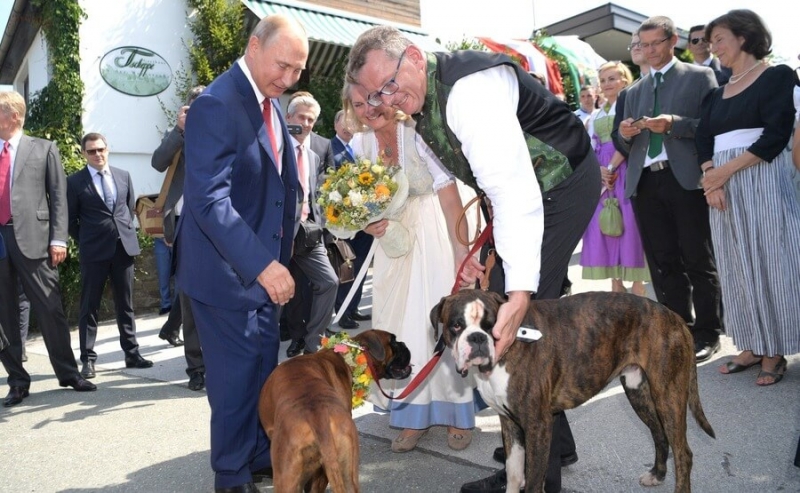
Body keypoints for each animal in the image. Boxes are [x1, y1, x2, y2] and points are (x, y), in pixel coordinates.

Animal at [434, 290, 716, 492]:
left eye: (492, 325)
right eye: (456, 326)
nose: (478, 338)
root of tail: (675, 317)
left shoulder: (537, 426)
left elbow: (533, 480)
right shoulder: (510, 423)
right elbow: (514, 475)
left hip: (668, 395)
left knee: (684, 454)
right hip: (639, 392)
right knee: (659, 433)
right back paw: (656, 475)